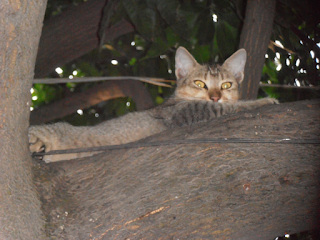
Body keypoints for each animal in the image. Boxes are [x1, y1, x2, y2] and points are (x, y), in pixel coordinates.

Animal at [30, 46, 280, 163]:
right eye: (200, 83)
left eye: (226, 85)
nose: (215, 96)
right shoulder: (187, 112)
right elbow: (229, 107)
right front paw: (265, 100)